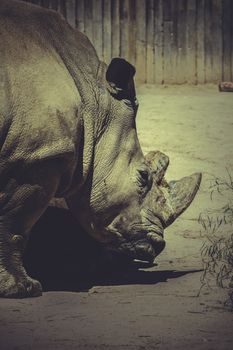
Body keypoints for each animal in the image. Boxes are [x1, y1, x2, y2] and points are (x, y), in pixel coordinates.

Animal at [0, 0, 200, 298]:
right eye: (142, 176)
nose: (158, 245)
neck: (93, 98)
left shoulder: (29, 155)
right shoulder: (34, 159)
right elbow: (14, 220)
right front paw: (23, 289)